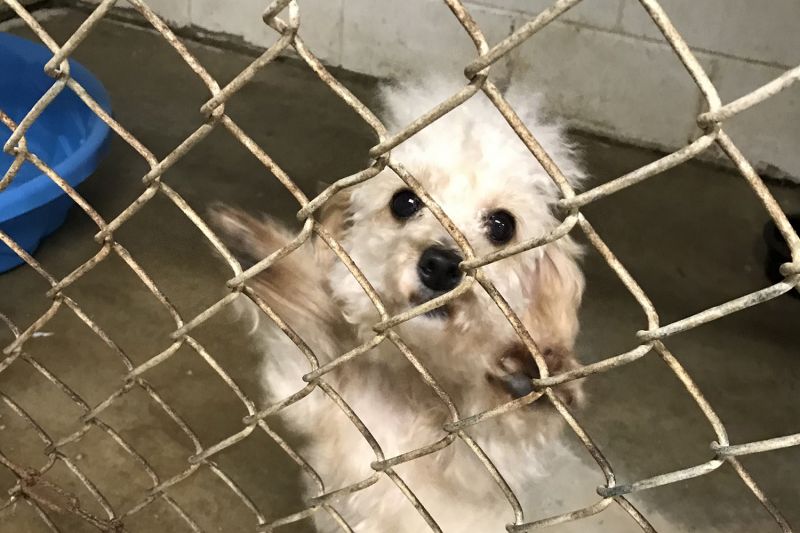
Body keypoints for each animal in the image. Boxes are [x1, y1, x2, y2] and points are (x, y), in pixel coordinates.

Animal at [212, 81, 588, 528]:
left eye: (502, 225)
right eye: (404, 202)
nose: (441, 265)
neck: (414, 381)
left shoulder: (479, 470)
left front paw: (532, 380)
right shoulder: (319, 403)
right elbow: (313, 332)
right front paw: (267, 256)